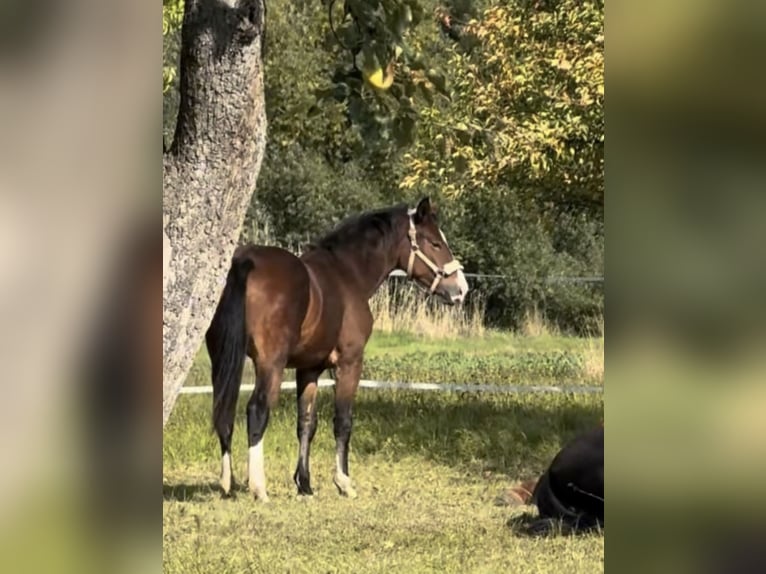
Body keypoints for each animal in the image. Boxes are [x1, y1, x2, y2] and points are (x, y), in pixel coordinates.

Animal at [205, 197, 469, 501]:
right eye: (435, 243)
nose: (461, 289)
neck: (347, 275)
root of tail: (244, 262)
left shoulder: (308, 369)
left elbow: (306, 424)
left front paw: (304, 484)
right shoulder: (349, 362)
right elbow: (342, 421)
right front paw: (344, 482)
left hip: (221, 359)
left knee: (224, 413)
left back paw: (227, 482)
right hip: (270, 365)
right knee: (256, 411)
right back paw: (259, 487)